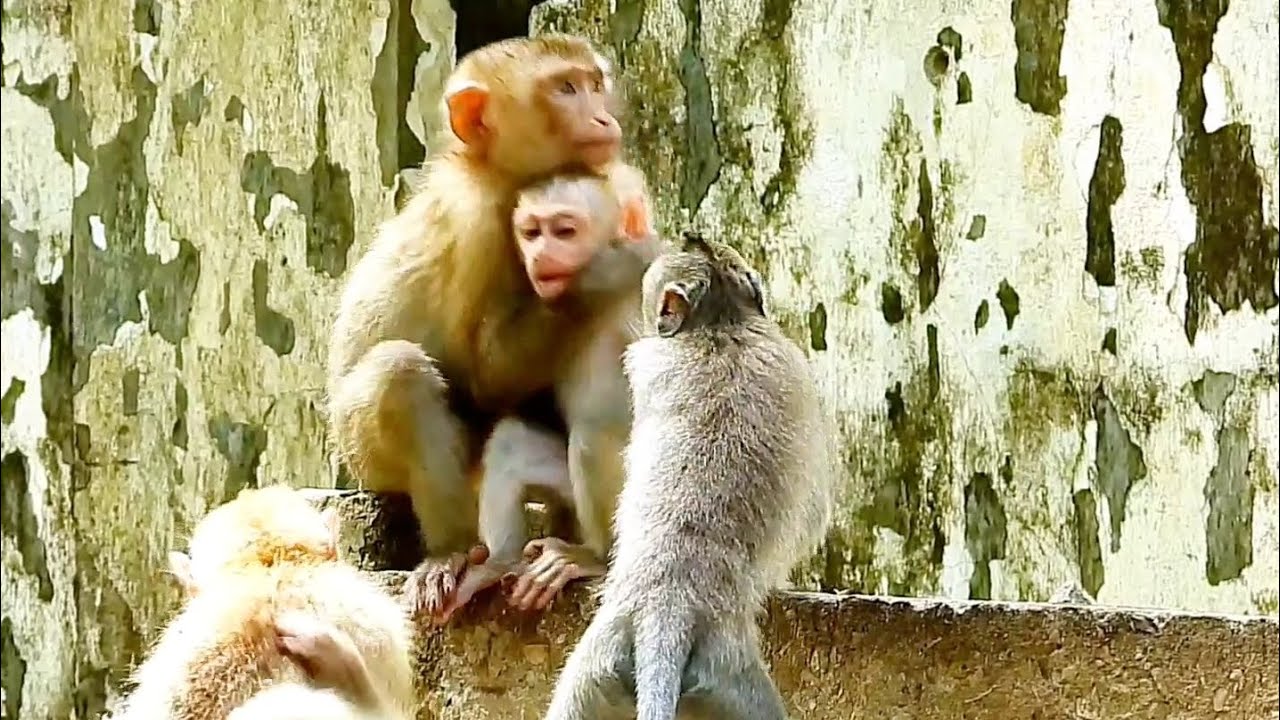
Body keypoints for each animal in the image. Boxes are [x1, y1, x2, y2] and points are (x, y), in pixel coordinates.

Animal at [325, 34, 658, 625]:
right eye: (565, 88)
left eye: (593, 83)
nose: (602, 116)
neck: (506, 176)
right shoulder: (476, 226)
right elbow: (488, 375)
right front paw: (612, 265)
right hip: (361, 455)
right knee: (399, 374)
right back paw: (453, 552)